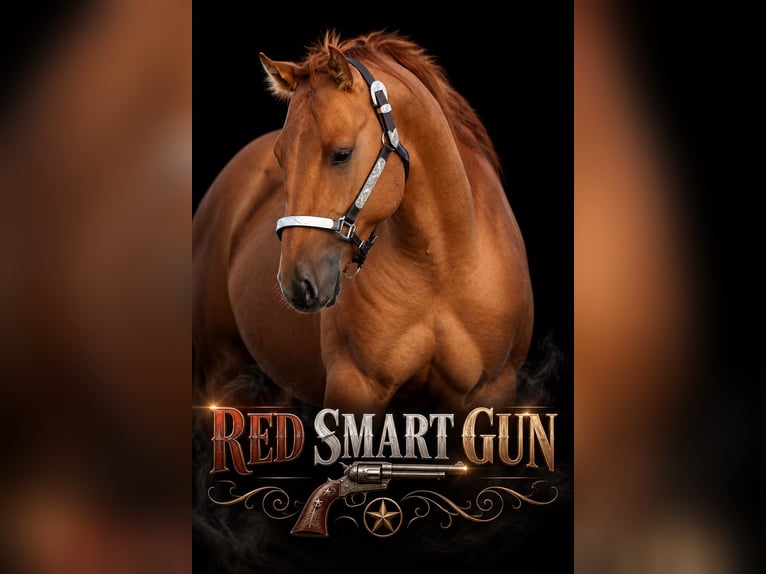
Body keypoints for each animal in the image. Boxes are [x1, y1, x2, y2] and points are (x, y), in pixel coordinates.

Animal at [192, 30, 534, 416]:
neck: (441, 267)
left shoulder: (493, 389)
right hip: (224, 370)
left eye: (342, 154)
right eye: (281, 157)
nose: (297, 283)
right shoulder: (354, 385)